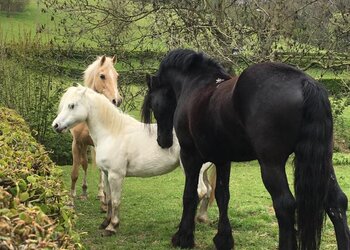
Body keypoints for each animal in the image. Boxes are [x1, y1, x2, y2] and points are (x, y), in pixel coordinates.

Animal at [52, 86, 216, 236]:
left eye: (72, 105)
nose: (56, 126)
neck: (112, 132)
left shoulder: (116, 175)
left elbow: (116, 200)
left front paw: (112, 227)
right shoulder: (106, 174)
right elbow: (109, 199)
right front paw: (105, 223)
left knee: (200, 192)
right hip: (203, 171)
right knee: (208, 191)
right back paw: (201, 219)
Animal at [69, 55, 121, 202]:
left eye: (117, 76)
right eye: (102, 76)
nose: (117, 100)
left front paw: (102, 195)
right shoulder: (77, 143)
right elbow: (76, 170)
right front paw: (73, 195)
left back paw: (100, 193)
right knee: (85, 163)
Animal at [142, 47, 350, 249]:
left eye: (152, 103)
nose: (163, 141)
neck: (194, 84)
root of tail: (303, 81)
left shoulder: (190, 156)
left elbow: (190, 194)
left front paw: (183, 237)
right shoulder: (222, 159)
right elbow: (222, 195)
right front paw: (223, 239)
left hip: (271, 164)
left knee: (285, 205)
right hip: (322, 161)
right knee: (336, 202)